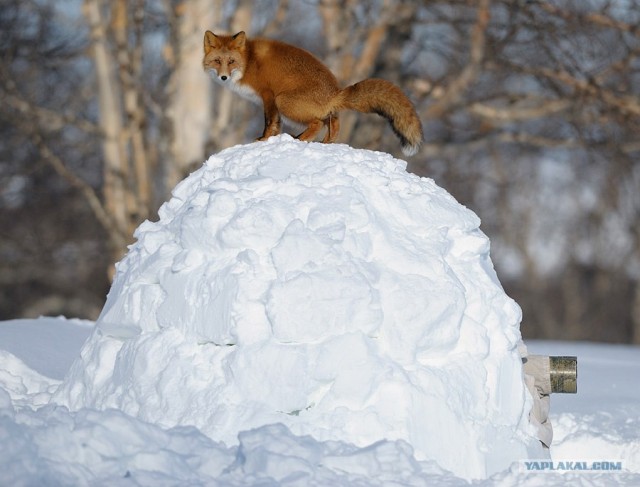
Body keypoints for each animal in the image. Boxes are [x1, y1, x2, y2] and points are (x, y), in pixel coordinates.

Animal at [205, 31, 422, 156]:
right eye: (217, 61)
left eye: (231, 62)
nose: (223, 77)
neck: (249, 61)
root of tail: (336, 91)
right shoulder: (269, 101)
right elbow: (276, 125)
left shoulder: (269, 96)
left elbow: (269, 123)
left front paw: (263, 140)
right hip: (312, 110)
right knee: (333, 123)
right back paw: (324, 143)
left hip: (284, 101)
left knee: (318, 123)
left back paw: (301, 140)